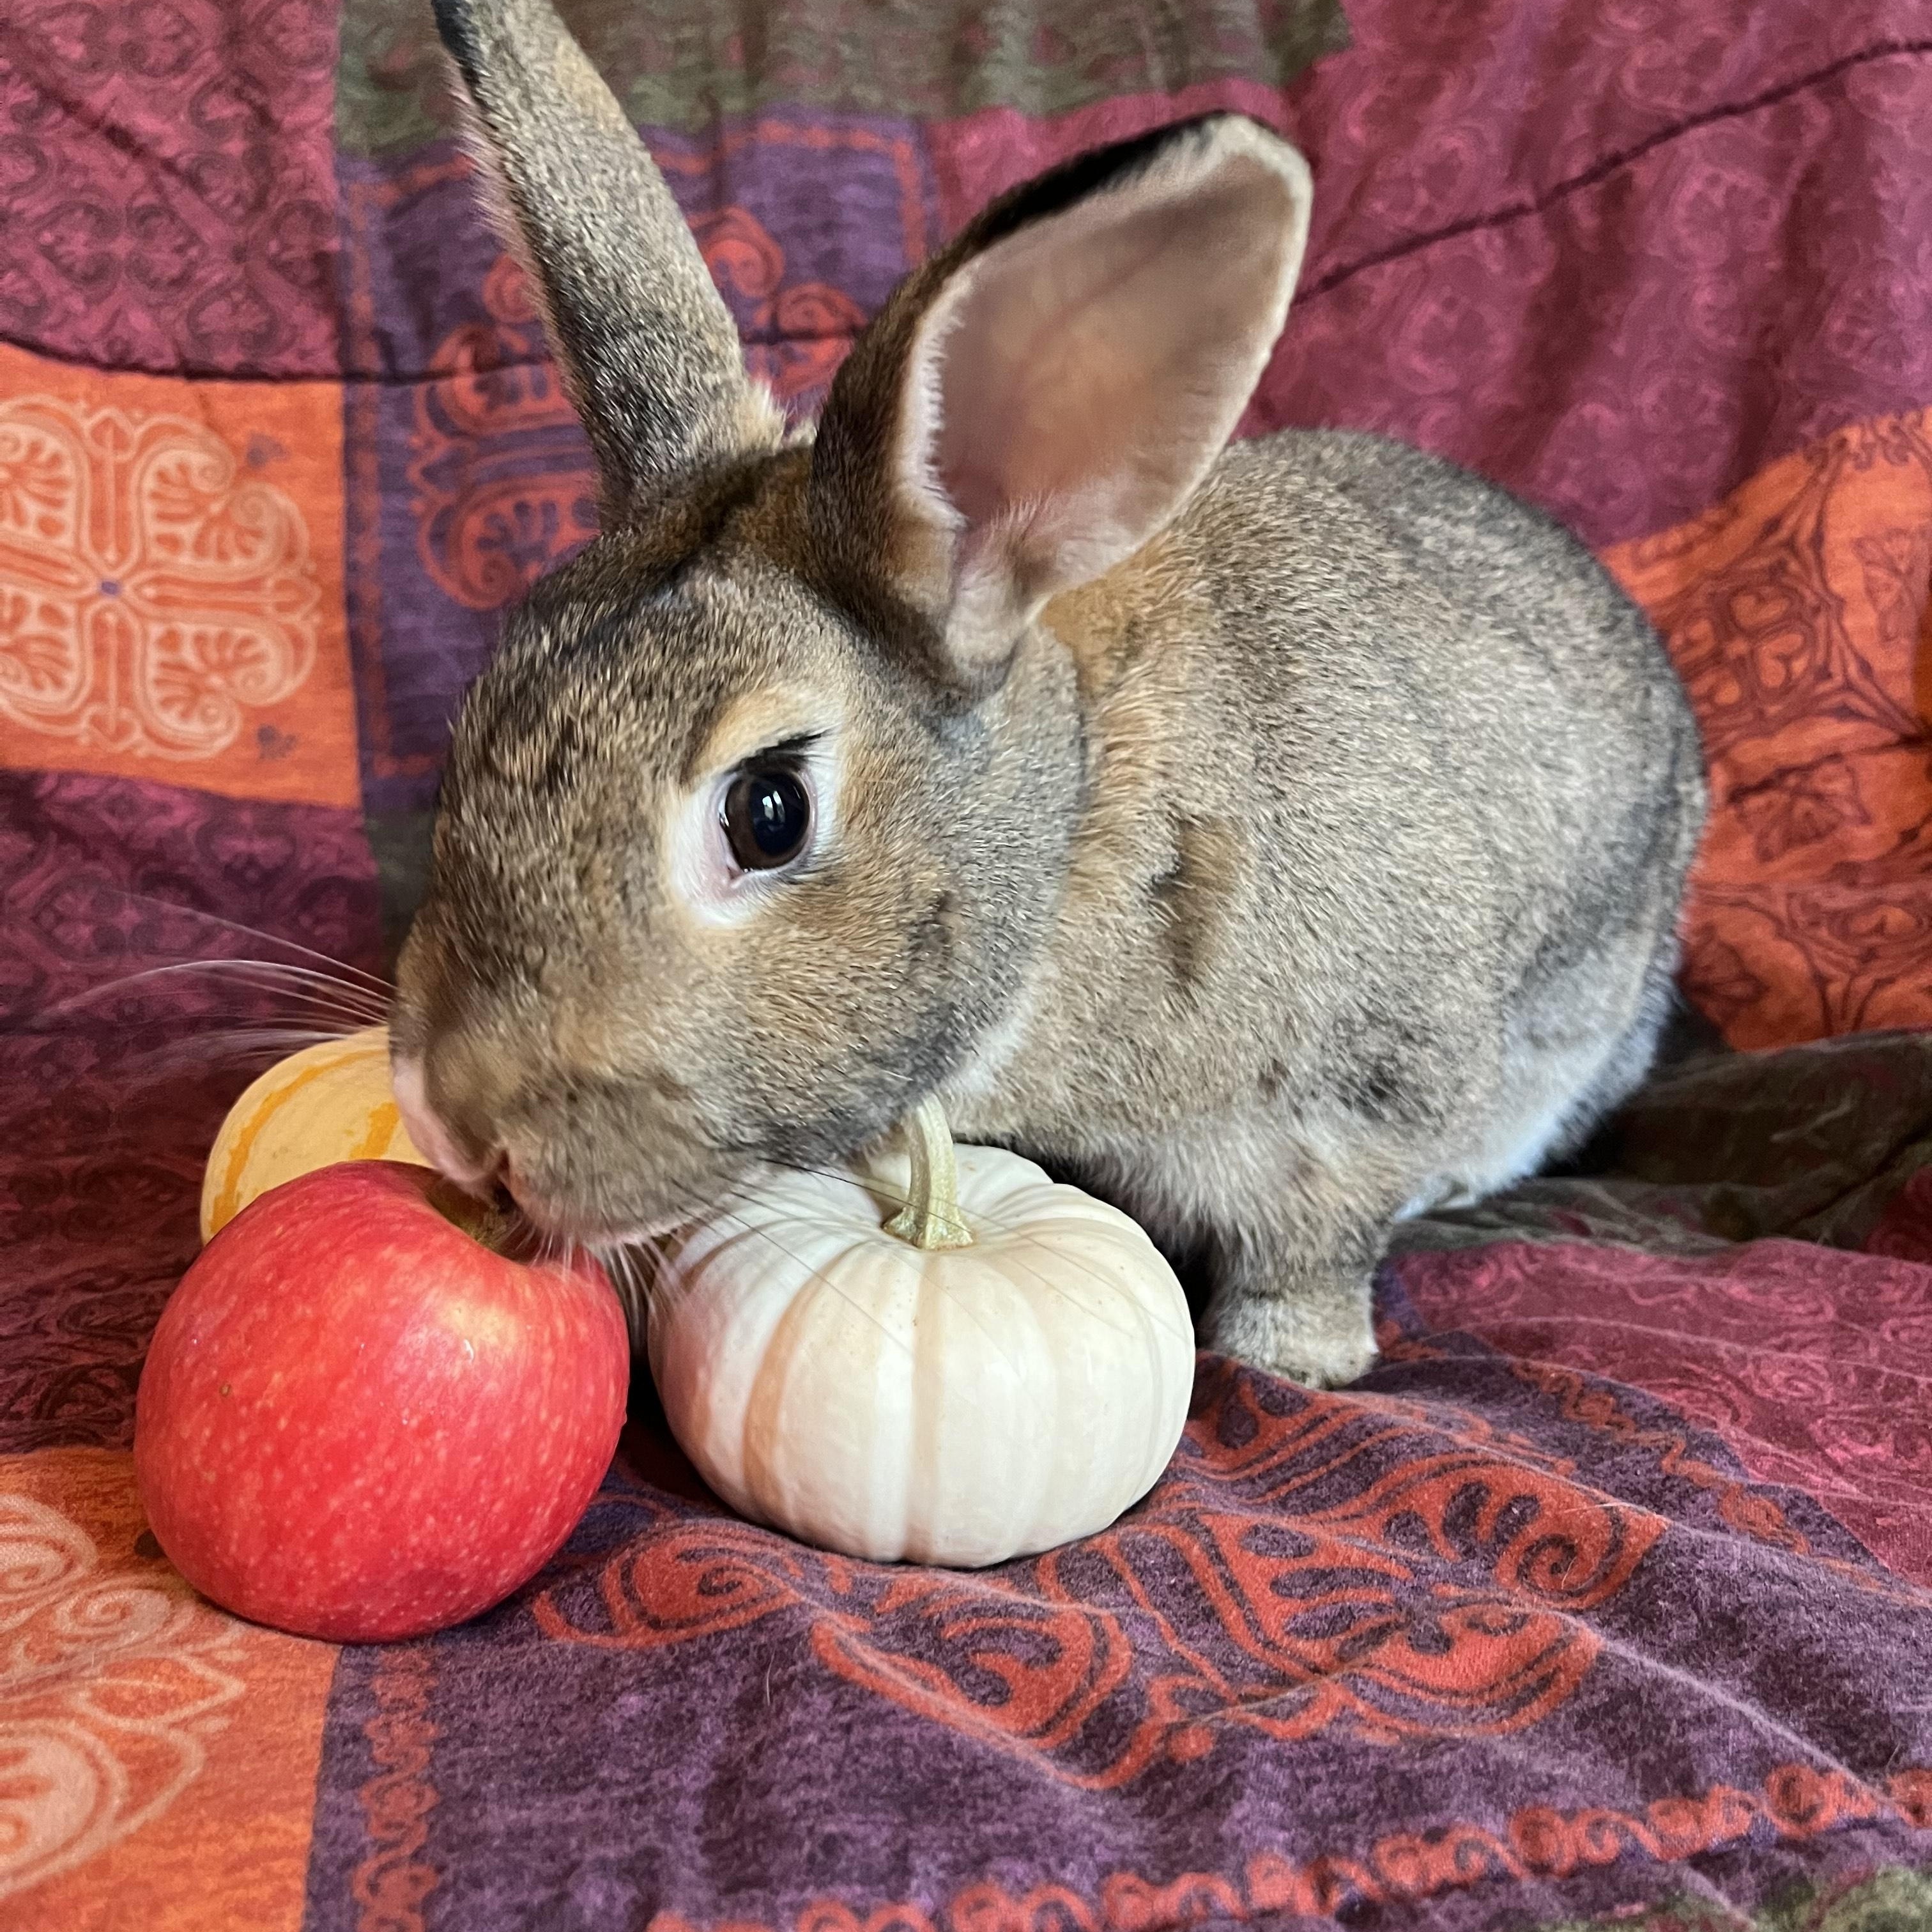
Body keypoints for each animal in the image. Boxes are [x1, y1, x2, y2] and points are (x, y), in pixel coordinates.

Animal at [390, 0, 1707, 1388]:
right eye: (483, 707)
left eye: (768, 811)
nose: (447, 1115)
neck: (1076, 827)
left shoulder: (1360, 1100)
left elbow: (1316, 1237)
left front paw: (1291, 1357)